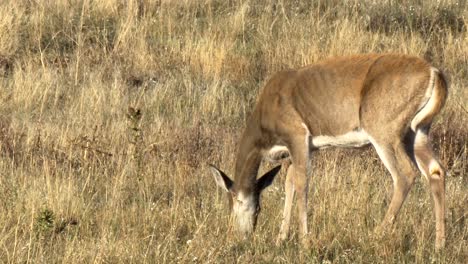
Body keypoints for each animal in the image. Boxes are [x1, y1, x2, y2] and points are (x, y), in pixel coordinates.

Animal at [210, 53, 448, 250]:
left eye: (236, 203)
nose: (241, 237)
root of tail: (433, 73)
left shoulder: (297, 136)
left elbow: (301, 183)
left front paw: (304, 241)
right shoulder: (300, 149)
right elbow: (289, 183)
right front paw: (281, 238)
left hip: (384, 132)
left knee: (404, 174)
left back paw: (375, 236)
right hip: (417, 133)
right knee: (435, 171)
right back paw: (439, 245)